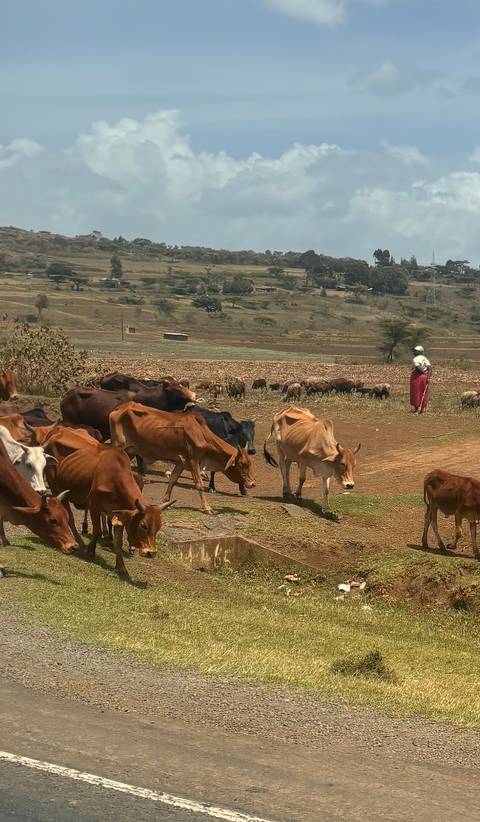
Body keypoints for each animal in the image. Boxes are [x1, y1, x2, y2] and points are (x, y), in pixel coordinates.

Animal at [46, 438, 173, 578]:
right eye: (143, 525)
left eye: (158, 527)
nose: (151, 552)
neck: (114, 477)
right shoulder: (94, 506)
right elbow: (97, 532)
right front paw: (90, 552)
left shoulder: (120, 514)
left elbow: (118, 542)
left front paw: (121, 567)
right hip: (56, 489)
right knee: (70, 519)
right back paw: (80, 543)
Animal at [109, 403, 255, 514]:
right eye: (242, 464)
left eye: (249, 463)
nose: (252, 483)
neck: (200, 433)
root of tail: (118, 409)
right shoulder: (193, 460)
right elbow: (199, 484)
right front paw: (207, 507)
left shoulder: (181, 463)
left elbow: (173, 480)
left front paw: (165, 501)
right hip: (118, 446)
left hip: (130, 451)